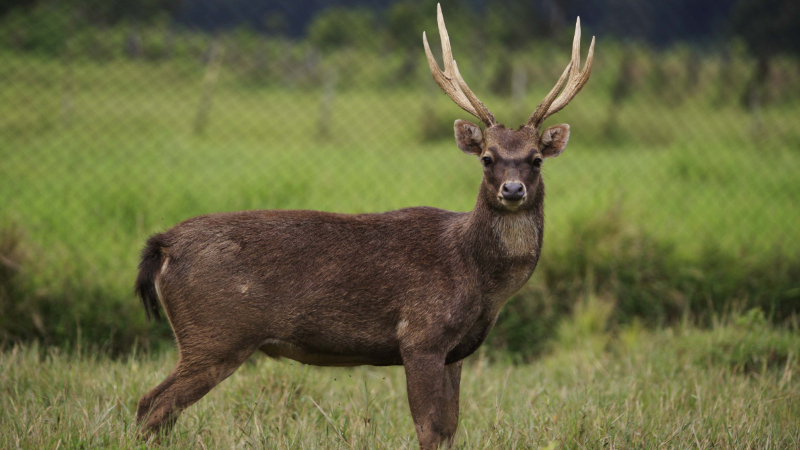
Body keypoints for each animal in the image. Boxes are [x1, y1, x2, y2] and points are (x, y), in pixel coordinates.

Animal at [133, 5, 592, 448]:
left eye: (536, 159)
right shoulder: (420, 336)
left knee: (158, 410)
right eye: (487, 158)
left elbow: (449, 429)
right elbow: (429, 429)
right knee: (152, 405)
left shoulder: (456, 352)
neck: (478, 278)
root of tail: (164, 244)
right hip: (215, 334)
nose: (512, 189)